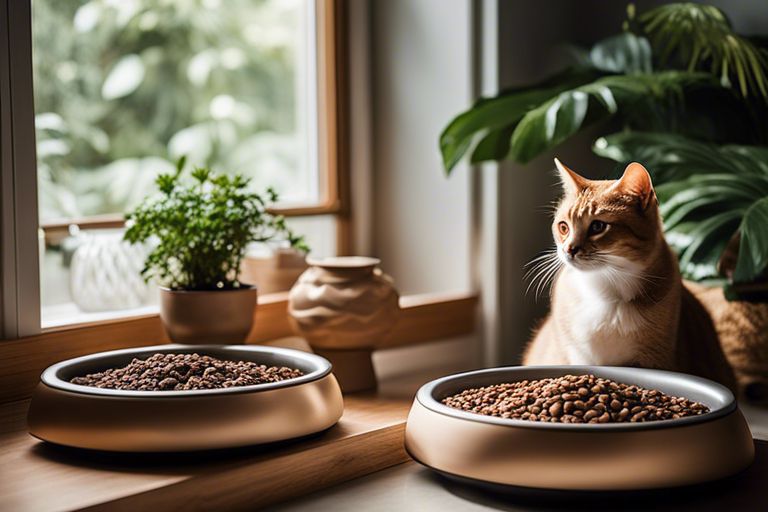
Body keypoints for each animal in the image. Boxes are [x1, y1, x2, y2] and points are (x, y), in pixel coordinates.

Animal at [524, 158, 736, 390]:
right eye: (563, 227)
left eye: (598, 226)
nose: (569, 249)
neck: (605, 291)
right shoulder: (575, 356)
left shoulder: (654, 359)